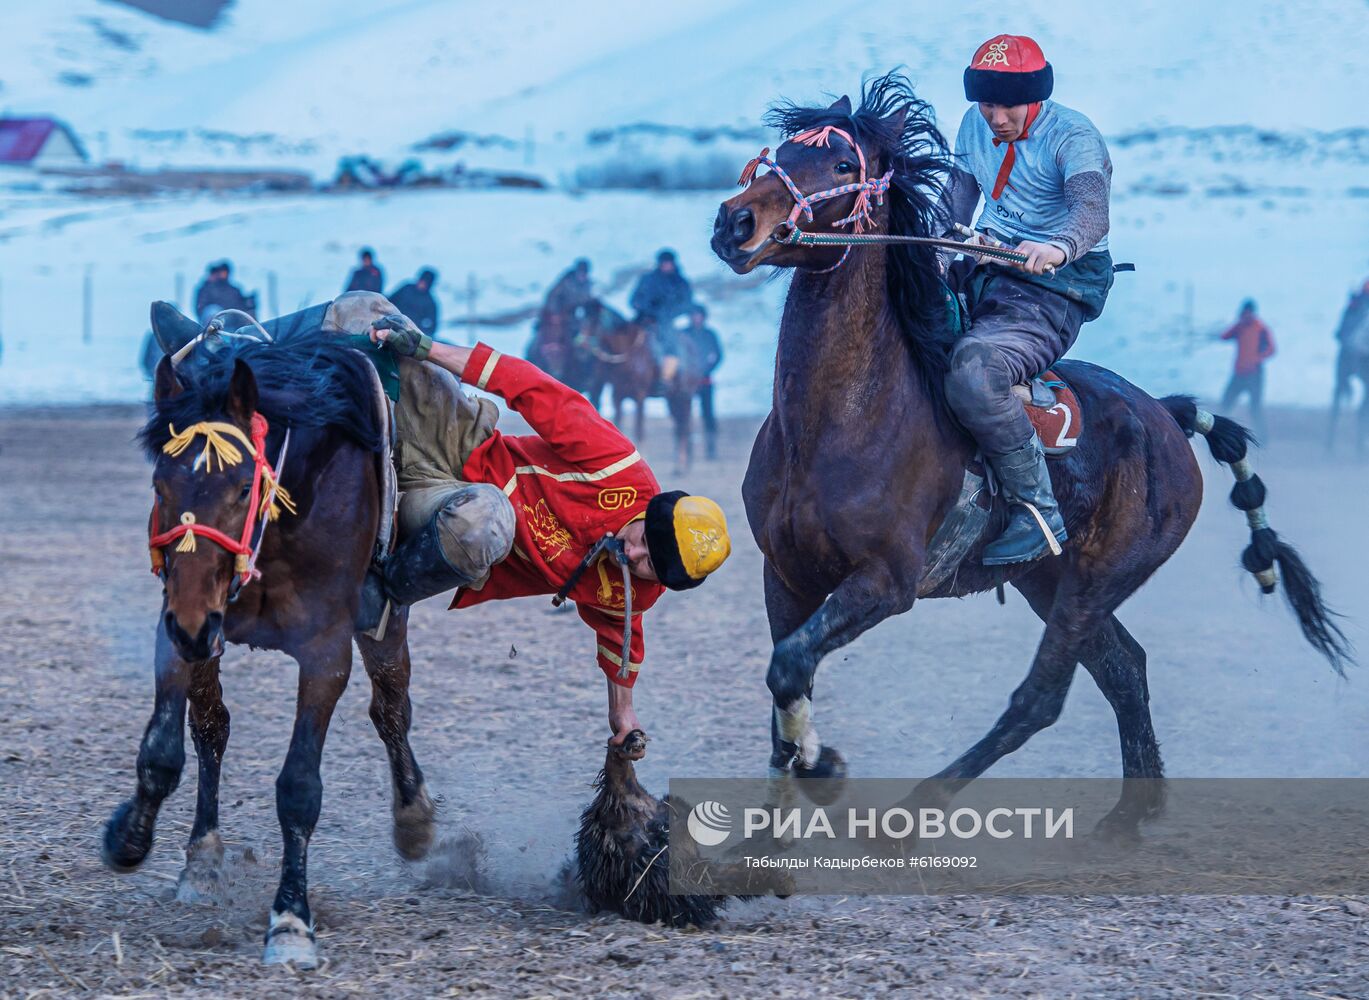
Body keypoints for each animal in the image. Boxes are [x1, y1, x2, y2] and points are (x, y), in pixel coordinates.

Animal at [104, 313, 435, 964]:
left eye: (239, 489)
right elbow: (165, 750)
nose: (193, 622)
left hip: (384, 625)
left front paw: (290, 919)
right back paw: (203, 859)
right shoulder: (181, 626)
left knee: (392, 710)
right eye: (160, 486)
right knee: (212, 729)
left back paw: (413, 815)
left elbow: (299, 788)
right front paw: (130, 837)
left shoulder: (327, 650)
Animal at [717, 71, 1347, 832]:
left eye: (842, 164)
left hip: (1098, 578)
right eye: (781, 151)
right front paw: (769, 828)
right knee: (1123, 668)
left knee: (1044, 696)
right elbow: (784, 679)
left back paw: (924, 805)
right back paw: (1129, 815)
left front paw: (825, 769)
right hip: (1048, 580)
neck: (837, 421)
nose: (733, 223)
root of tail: (1164, 416)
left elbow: (789, 667)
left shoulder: (886, 582)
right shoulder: (785, 574)